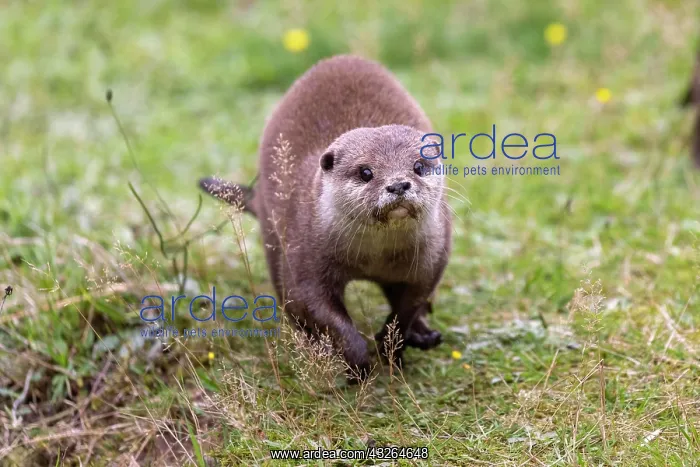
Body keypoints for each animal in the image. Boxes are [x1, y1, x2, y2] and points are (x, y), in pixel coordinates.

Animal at [199, 55, 452, 380]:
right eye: (365, 171)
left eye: (419, 166)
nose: (398, 184)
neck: (374, 259)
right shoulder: (305, 254)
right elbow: (316, 305)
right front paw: (357, 362)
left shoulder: (432, 258)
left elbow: (411, 303)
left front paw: (391, 344)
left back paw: (424, 335)